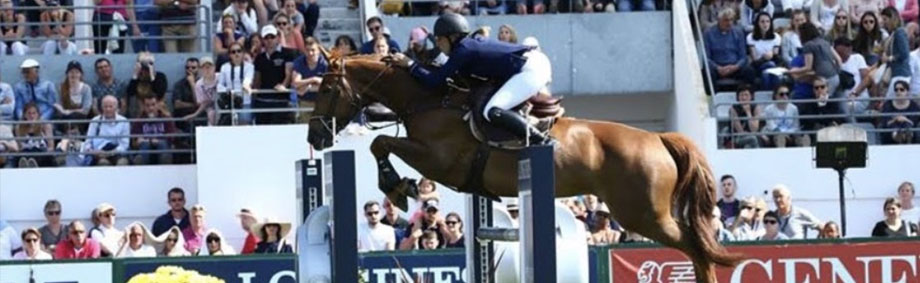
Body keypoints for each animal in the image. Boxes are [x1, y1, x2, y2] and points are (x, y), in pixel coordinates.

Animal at [306, 54, 744, 282]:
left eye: (326, 88)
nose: (315, 137)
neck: (428, 99)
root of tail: (658, 139)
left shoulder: (439, 160)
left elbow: (381, 143)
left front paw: (399, 187)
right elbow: (381, 143)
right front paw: (400, 187)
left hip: (643, 214)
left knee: (696, 246)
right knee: (696, 245)